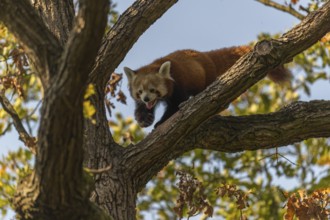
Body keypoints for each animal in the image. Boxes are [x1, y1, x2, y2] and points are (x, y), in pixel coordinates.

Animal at [124, 45, 288, 127]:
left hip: (207, 77)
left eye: (153, 90)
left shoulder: (179, 84)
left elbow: (175, 106)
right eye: (140, 92)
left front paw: (160, 122)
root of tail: (206, 55)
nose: (146, 99)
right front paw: (144, 118)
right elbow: (141, 109)